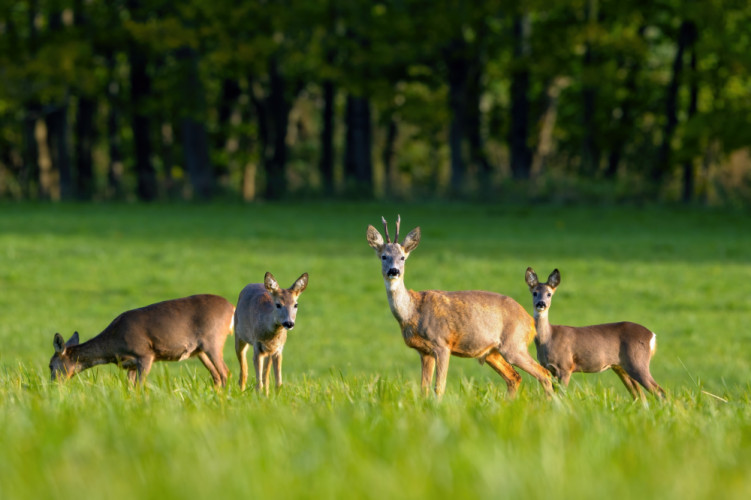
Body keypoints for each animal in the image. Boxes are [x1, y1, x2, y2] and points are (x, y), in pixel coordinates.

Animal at [49, 292, 235, 386]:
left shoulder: (145, 354)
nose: (52, 385)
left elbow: (139, 386)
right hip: (200, 350)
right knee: (216, 376)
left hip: (213, 340)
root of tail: (232, 308)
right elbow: (129, 388)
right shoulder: (130, 364)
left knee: (225, 372)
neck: (114, 345)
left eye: (51, 365)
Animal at [368, 215, 556, 398]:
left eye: (403, 257)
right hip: (492, 352)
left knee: (543, 373)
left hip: (514, 345)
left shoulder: (442, 344)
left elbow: (439, 387)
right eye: (384, 256)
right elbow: (424, 389)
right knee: (514, 377)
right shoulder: (424, 351)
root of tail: (530, 321)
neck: (413, 312)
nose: (394, 271)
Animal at [524, 268, 668, 400]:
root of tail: (652, 335)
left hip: (637, 361)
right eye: (534, 293)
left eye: (549, 294)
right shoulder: (550, 369)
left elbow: (561, 395)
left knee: (660, 392)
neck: (548, 340)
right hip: (622, 367)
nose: (541, 304)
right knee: (640, 396)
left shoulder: (565, 366)